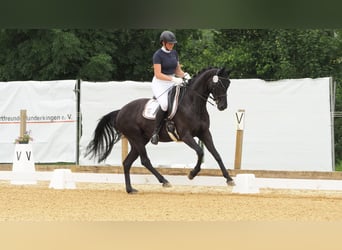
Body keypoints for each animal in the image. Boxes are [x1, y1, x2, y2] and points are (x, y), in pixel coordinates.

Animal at [85, 67, 235, 193]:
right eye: (218, 84)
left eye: (228, 84)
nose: (223, 106)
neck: (193, 104)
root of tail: (120, 111)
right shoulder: (186, 135)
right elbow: (200, 152)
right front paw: (192, 174)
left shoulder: (205, 134)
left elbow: (217, 155)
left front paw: (229, 179)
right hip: (136, 138)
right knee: (145, 160)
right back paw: (164, 181)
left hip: (139, 140)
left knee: (127, 162)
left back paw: (130, 189)